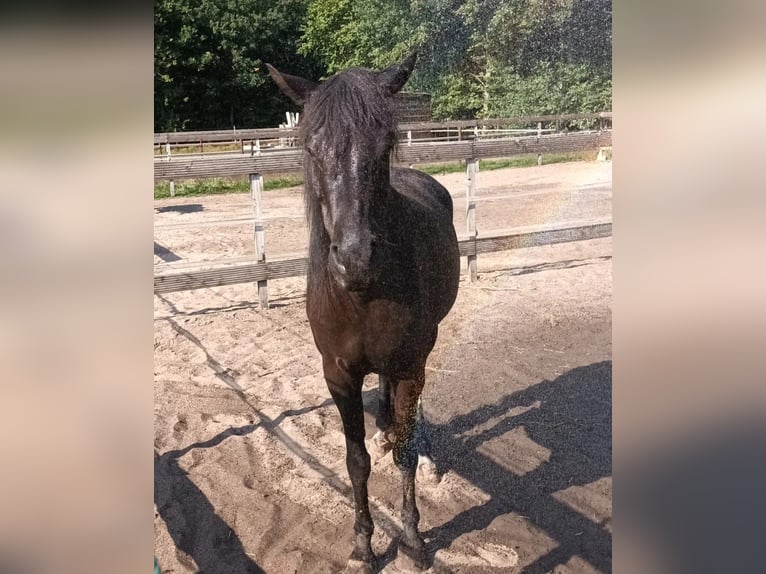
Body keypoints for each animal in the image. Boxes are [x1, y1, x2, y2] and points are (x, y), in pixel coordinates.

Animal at [270, 53, 460, 572]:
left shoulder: (411, 364)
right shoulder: (338, 373)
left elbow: (406, 454)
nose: (354, 259)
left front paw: (412, 538)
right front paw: (364, 544)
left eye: (385, 144)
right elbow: (356, 462)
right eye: (312, 148)